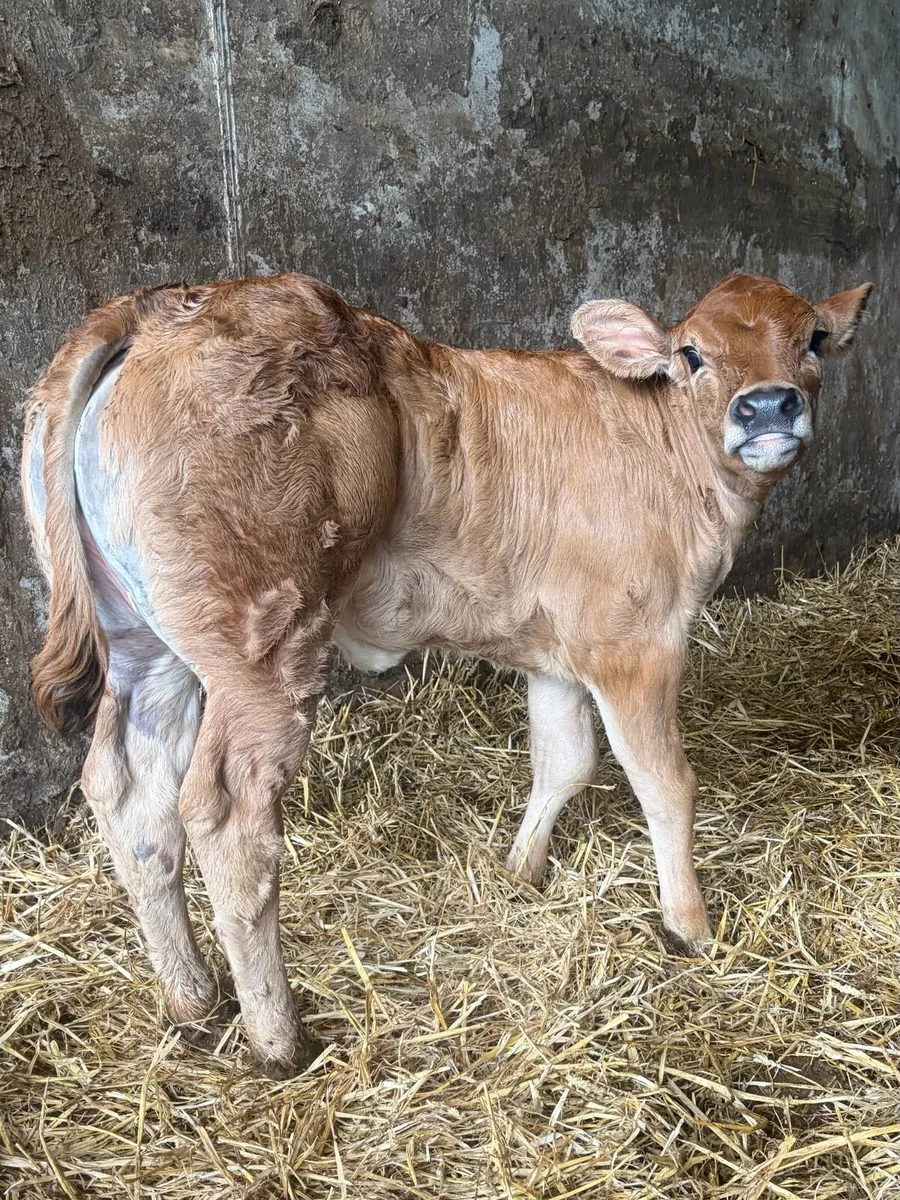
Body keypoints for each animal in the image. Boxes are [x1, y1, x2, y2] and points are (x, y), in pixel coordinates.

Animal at [21, 270, 871, 1076]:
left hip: (142, 643)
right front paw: (689, 927)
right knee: (227, 816)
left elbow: (563, 761)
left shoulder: (557, 651)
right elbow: (663, 781)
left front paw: (521, 870)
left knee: (129, 793)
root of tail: (165, 305)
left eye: (814, 340)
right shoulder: (635, 641)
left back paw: (192, 1000)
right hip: (263, 640)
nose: (767, 407)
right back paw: (278, 1038)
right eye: (692, 353)